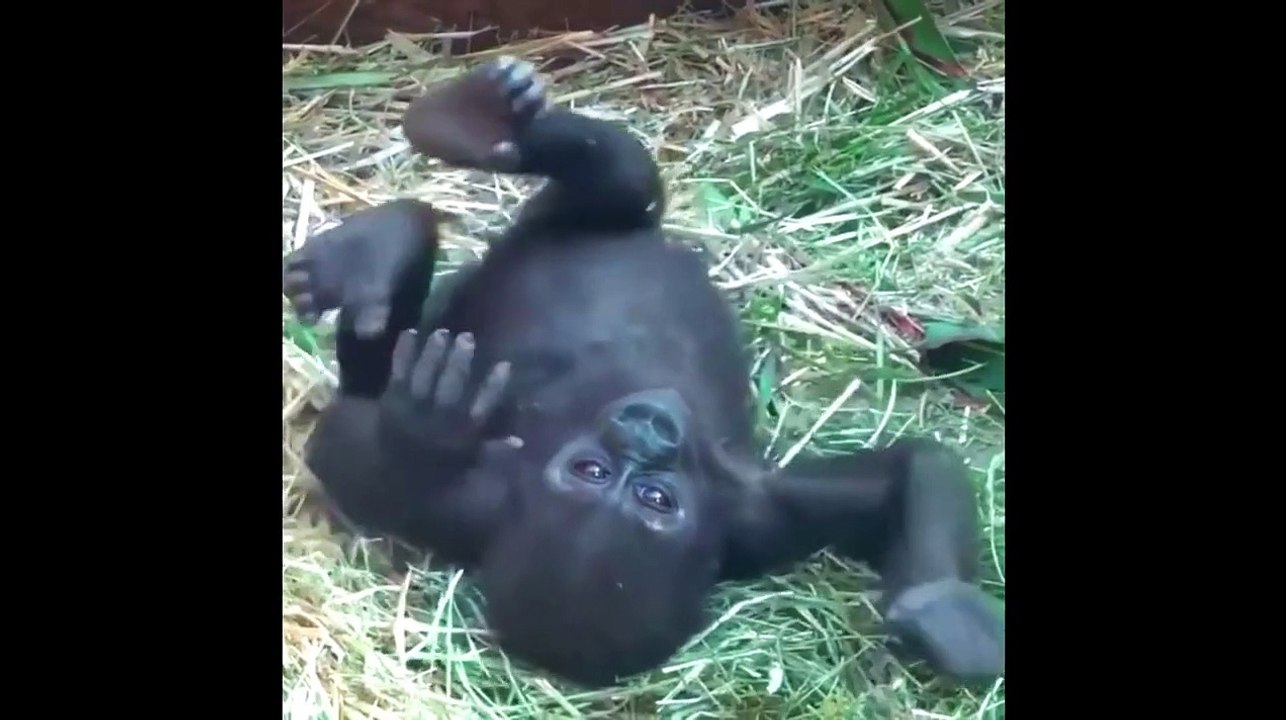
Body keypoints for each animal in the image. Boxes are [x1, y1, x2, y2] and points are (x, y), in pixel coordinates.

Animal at [282, 56, 1004, 689]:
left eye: (656, 500)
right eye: (592, 473)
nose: (648, 431)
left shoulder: (760, 516)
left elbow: (908, 474)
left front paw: (948, 612)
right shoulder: (472, 500)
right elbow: (351, 453)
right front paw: (424, 430)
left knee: (616, 184)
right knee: (619, 181)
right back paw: (415, 194)